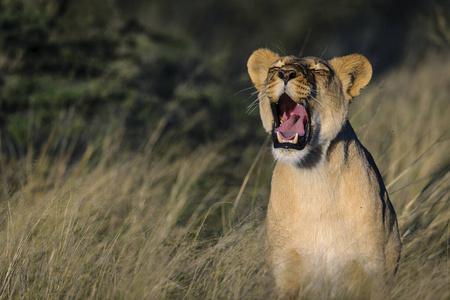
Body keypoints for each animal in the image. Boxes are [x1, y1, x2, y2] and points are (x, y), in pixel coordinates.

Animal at [248, 49, 402, 298]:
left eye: (318, 70)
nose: (286, 73)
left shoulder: (373, 270)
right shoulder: (284, 271)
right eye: (275, 67)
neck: (312, 177)